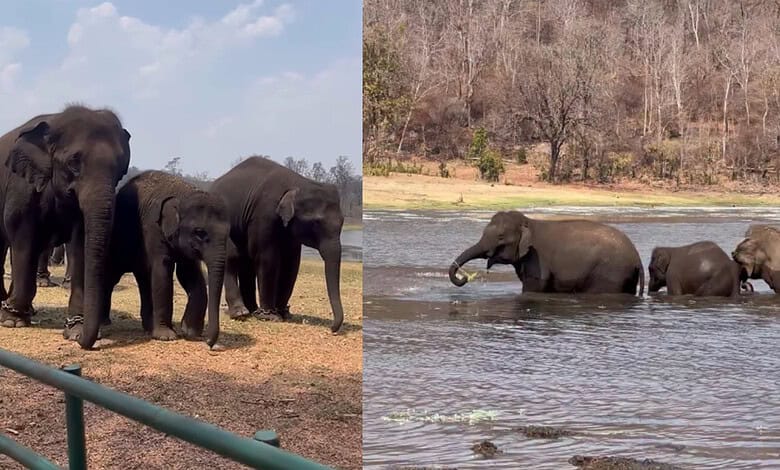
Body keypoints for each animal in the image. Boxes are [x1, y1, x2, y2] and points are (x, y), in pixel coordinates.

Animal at [0, 105, 130, 349]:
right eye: (73, 162)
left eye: (121, 170)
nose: (83, 341)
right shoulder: (21, 186)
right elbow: (22, 236)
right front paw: (13, 321)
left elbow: (80, 244)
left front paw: (75, 329)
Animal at [65, 171, 229, 346]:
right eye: (199, 232)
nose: (209, 342)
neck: (182, 192)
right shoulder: (152, 228)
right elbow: (162, 271)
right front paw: (166, 336)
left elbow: (189, 274)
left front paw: (190, 332)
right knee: (111, 278)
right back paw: (105, 322)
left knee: (142, 279)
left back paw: (147, 326)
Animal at [210, 156, 345, 332]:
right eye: (316, 223)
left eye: (343, 222)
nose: (332, 329)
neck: (299, 183)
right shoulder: (264, 215)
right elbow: (267, 258)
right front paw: (270, 316)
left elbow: (291, 262)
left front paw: (284, 314)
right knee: (232, 257)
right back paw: (241, 313)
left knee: (246, 262)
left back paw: (252, 310)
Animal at [449, 211, 645, 295]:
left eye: (500, 238)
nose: (464, 277)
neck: (528, 222)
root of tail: (637, 258)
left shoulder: (537, 259)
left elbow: (534, 287)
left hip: (611, 273)